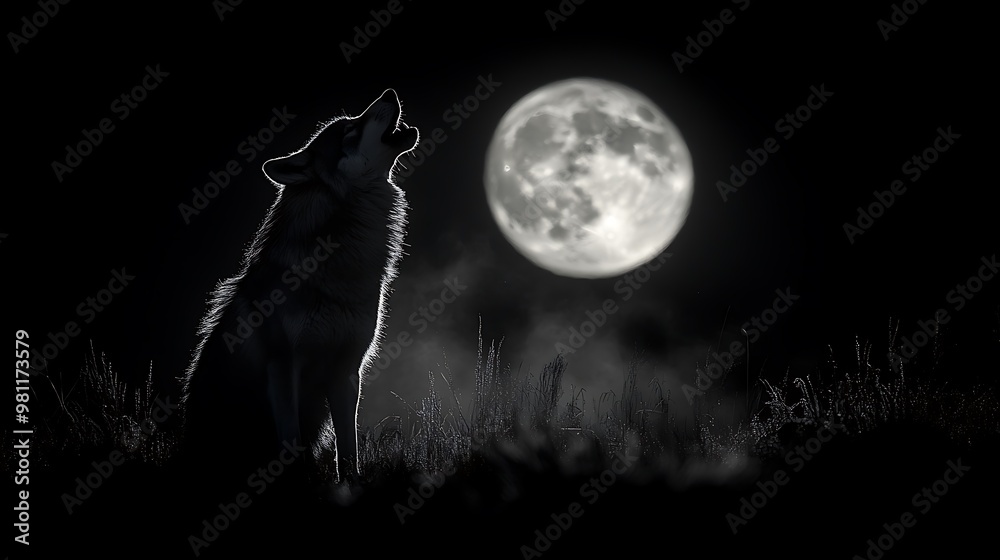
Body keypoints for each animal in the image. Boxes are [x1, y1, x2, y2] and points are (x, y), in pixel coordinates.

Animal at [180, 89, 419, 484]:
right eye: (350, 129)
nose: (390, 93)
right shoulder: (282, 366)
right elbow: (290, 442)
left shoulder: (346, 371)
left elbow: (348, 448)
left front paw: (351, 486)